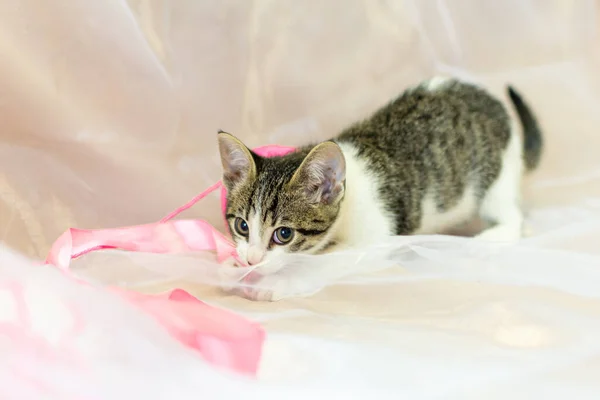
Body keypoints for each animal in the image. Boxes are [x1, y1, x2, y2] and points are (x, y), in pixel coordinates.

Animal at [217, 77, 544, 296]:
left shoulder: (377, 242)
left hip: (495, 179)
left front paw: (281, 282)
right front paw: (231, 267)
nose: (251, 259)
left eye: (283, 234)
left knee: (510, 215)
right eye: (242, 226)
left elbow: (327, 264)